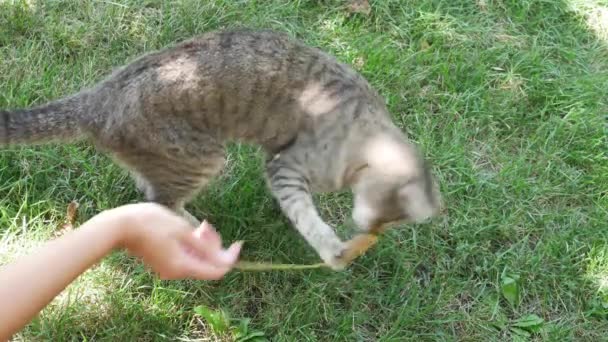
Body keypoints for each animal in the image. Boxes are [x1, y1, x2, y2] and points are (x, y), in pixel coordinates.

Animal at [2, 28, 444, 270]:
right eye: (385, 216)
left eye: (392, 224)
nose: (371, 232)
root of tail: (99, 98)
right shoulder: (284, 166)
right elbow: (304, 212)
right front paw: (330, 248)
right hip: (206, 156)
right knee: (160, 201)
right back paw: (193, 227)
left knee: (149, 189)